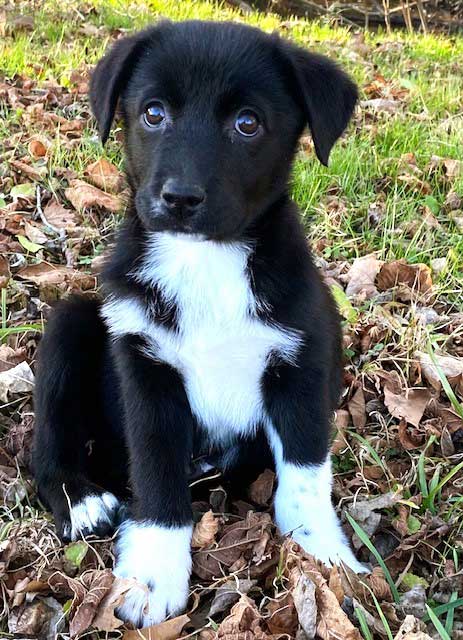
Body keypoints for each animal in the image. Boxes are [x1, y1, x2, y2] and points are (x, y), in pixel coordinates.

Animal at [31, 18, 366, 624]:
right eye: (153, 113)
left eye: (247, 123)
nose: (180, 198)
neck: (205, 261)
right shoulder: (146, 366)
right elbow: (157, 471)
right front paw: (154, 573)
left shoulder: (301, 358)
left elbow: (306, 472)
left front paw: (325, 557)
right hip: (72, 322)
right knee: (44, 439)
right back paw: (80, 498)